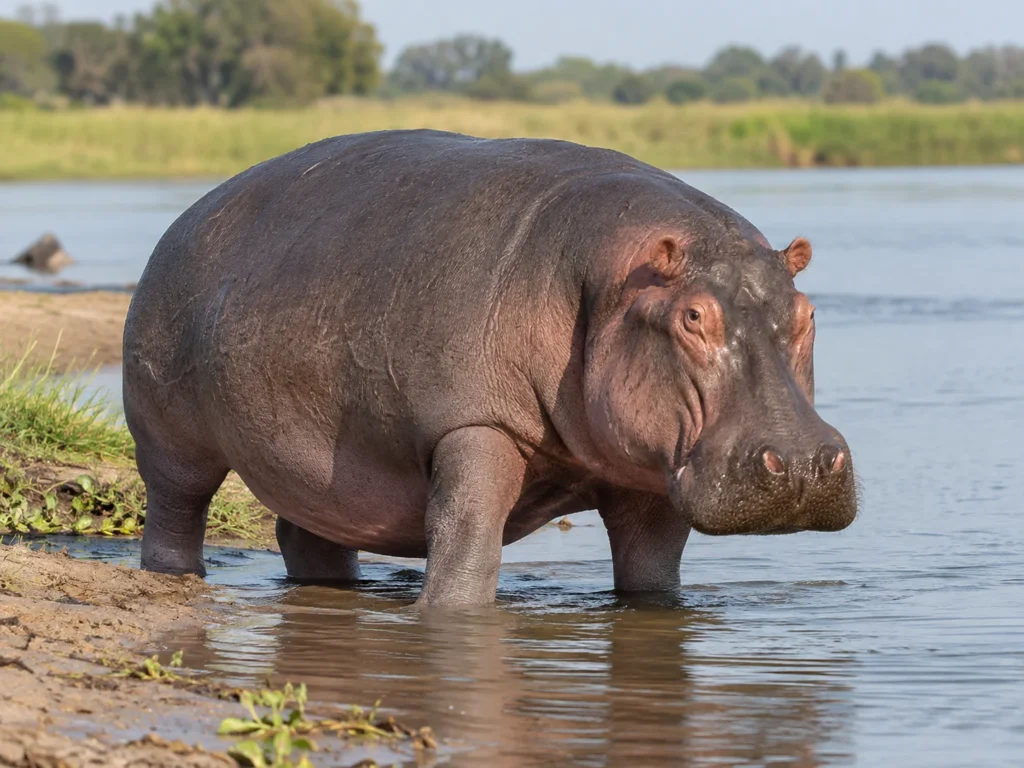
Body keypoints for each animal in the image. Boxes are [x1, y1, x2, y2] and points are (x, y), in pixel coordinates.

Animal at [124, 130, 857, 606]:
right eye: (693, 318)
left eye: (807, 313)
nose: (801, 463)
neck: (603, 281)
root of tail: (195, 210)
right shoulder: (472, 427)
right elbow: (466, 542)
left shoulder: (652, 470)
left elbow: (652, 572)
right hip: (168, 434)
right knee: (176, 509)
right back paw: (170, 580)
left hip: (315, 464)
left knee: (308, 535)